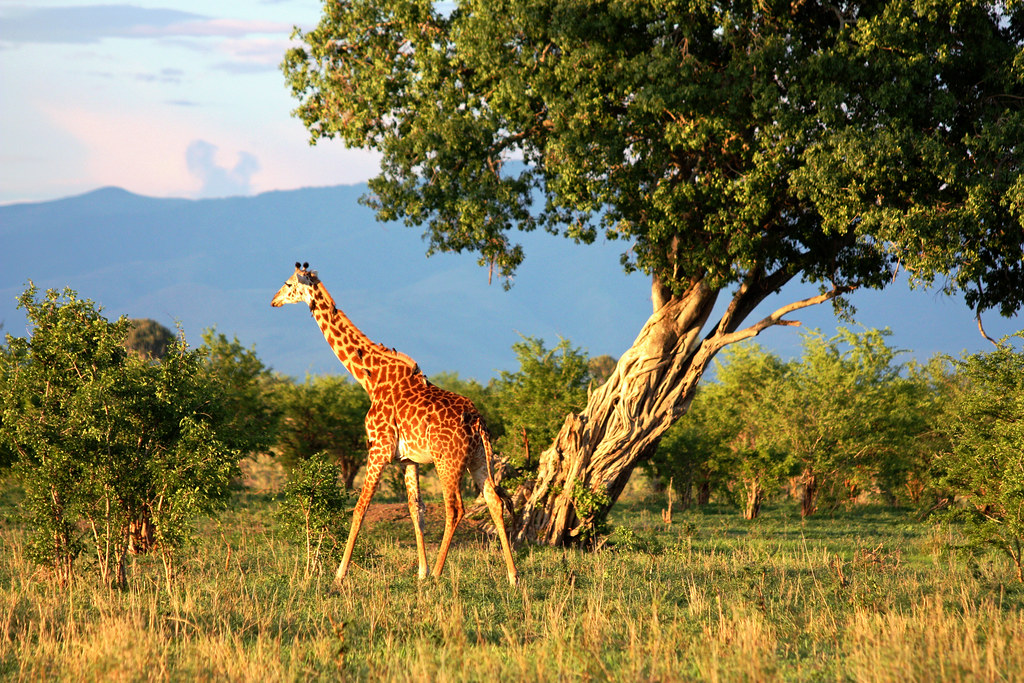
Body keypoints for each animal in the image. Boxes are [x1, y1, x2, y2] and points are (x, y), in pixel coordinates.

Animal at [271, 262, 519, 587]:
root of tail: (477, 421)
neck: (371, 379)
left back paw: (440, 573)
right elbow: (416, 510)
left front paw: (340, 573)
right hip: (479, 459)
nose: (273, 301)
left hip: (448, 461)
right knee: (494, 501)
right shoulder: (408, 460)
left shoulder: (378, 449)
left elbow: (360, 508)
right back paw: (512, 575)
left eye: (288, 284)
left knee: (455, 508)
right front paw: (420, 572)